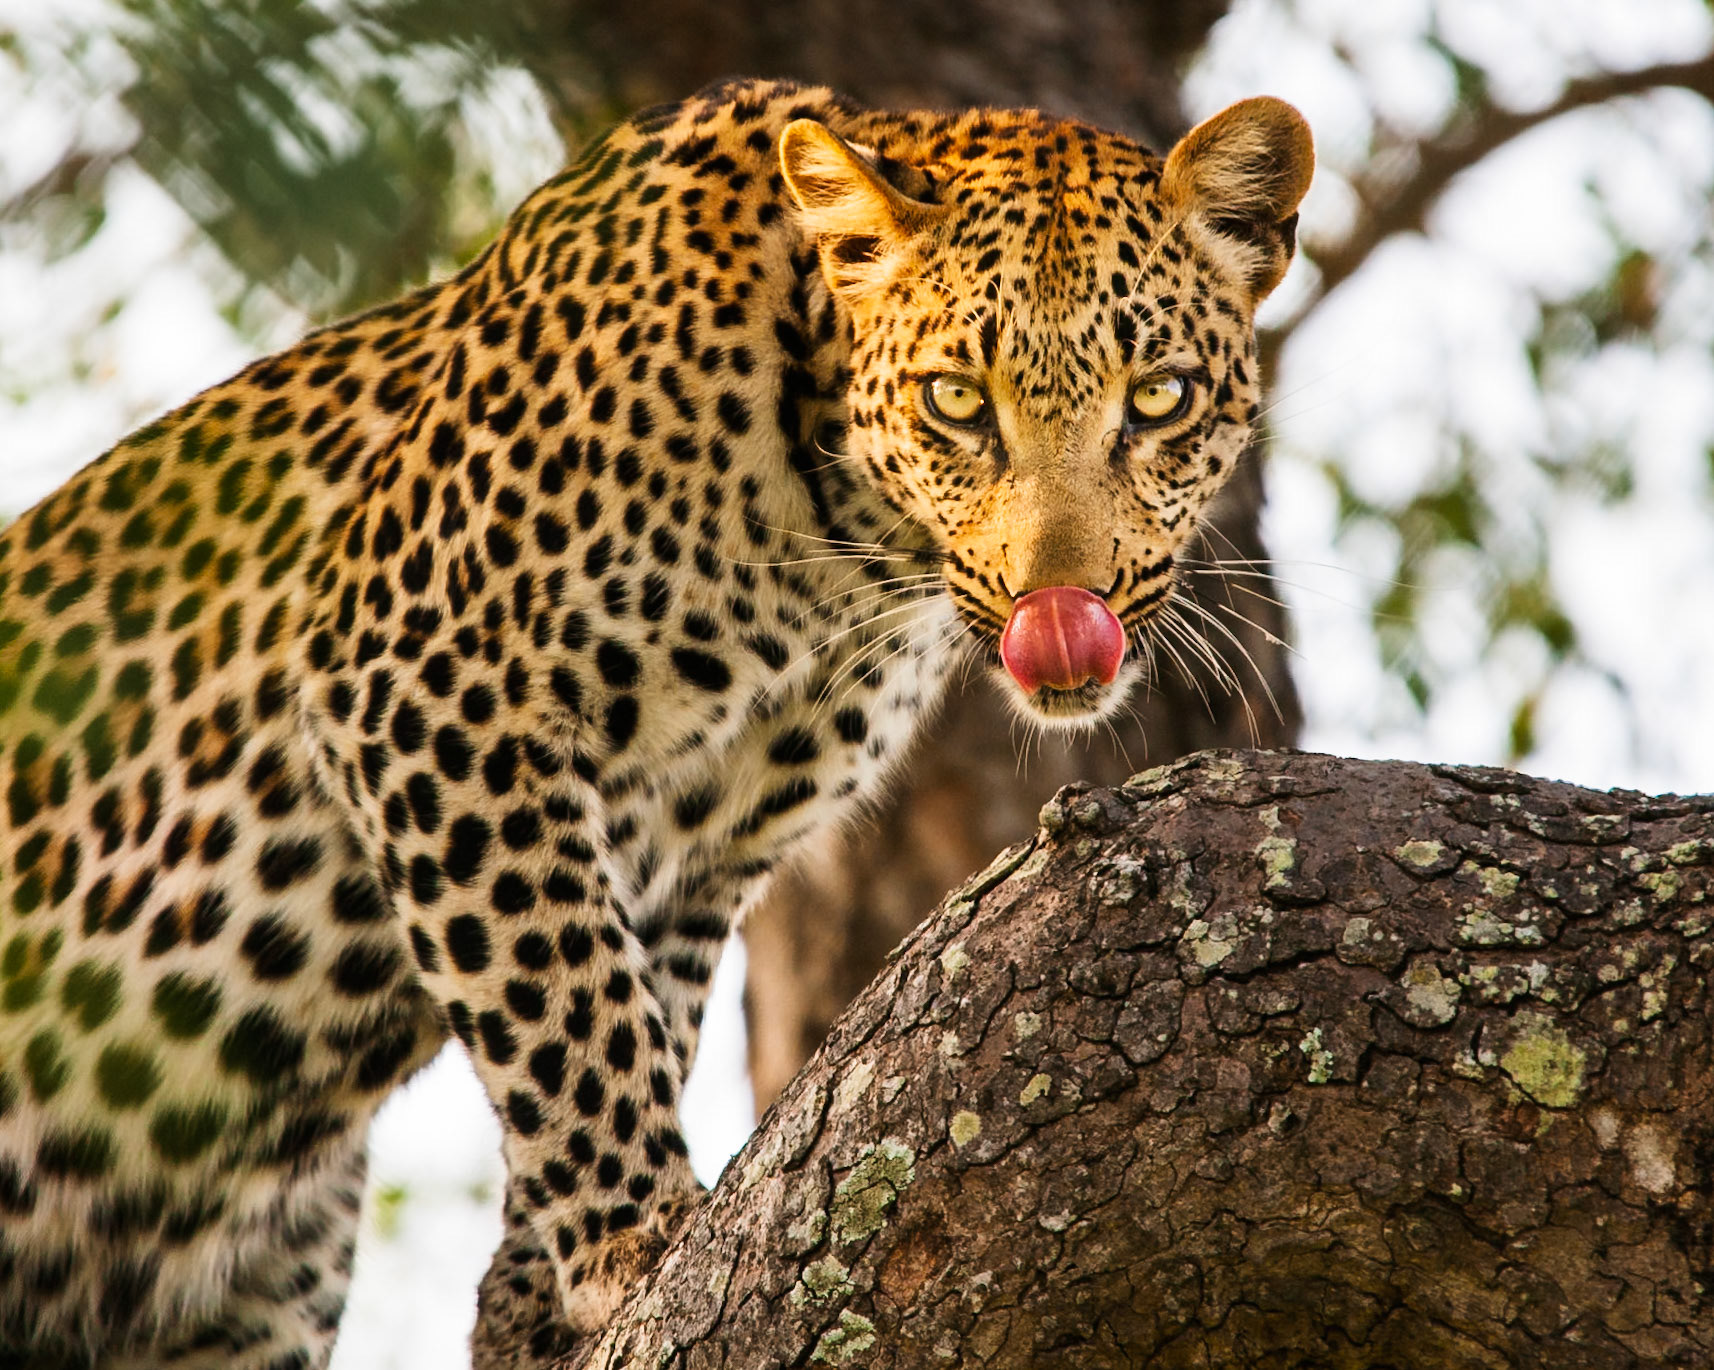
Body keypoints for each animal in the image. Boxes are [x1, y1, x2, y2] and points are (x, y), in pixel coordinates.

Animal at [0, 76, 1312, 1367]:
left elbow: (635, 1003)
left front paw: (537, 1301)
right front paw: (634, 1237)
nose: (1064, 602)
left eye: (1159, 398)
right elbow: (561, 993)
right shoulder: (421, 679)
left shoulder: (707, 841)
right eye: (955, 402)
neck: (837, 548)